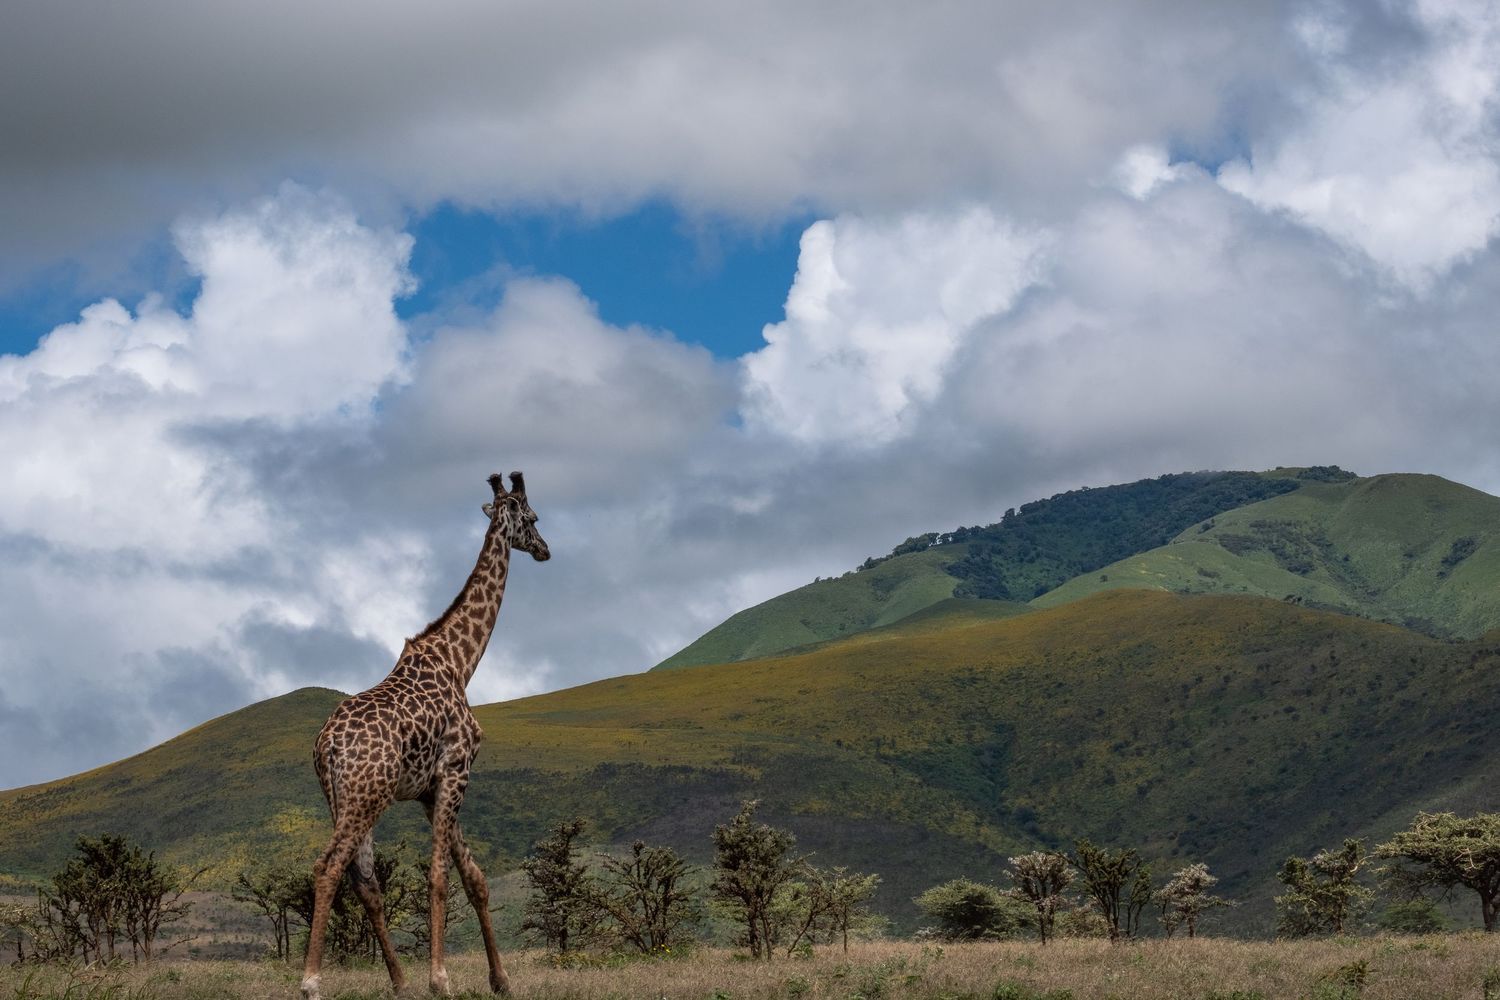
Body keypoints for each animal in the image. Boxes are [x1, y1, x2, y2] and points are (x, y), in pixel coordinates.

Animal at [300, 471, 550, 1000]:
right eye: (534, 517)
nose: (545, 550)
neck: (461, 661)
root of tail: (326, 746)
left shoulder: (428, 791)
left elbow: (473, 876)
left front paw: (500, 979)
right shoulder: (457, 770)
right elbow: (439, 875)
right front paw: (441, 978)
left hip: (342, 797)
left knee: (365, 881)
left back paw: (398, 981)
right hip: (366, 797)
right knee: (329, 866)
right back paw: (311, 981)